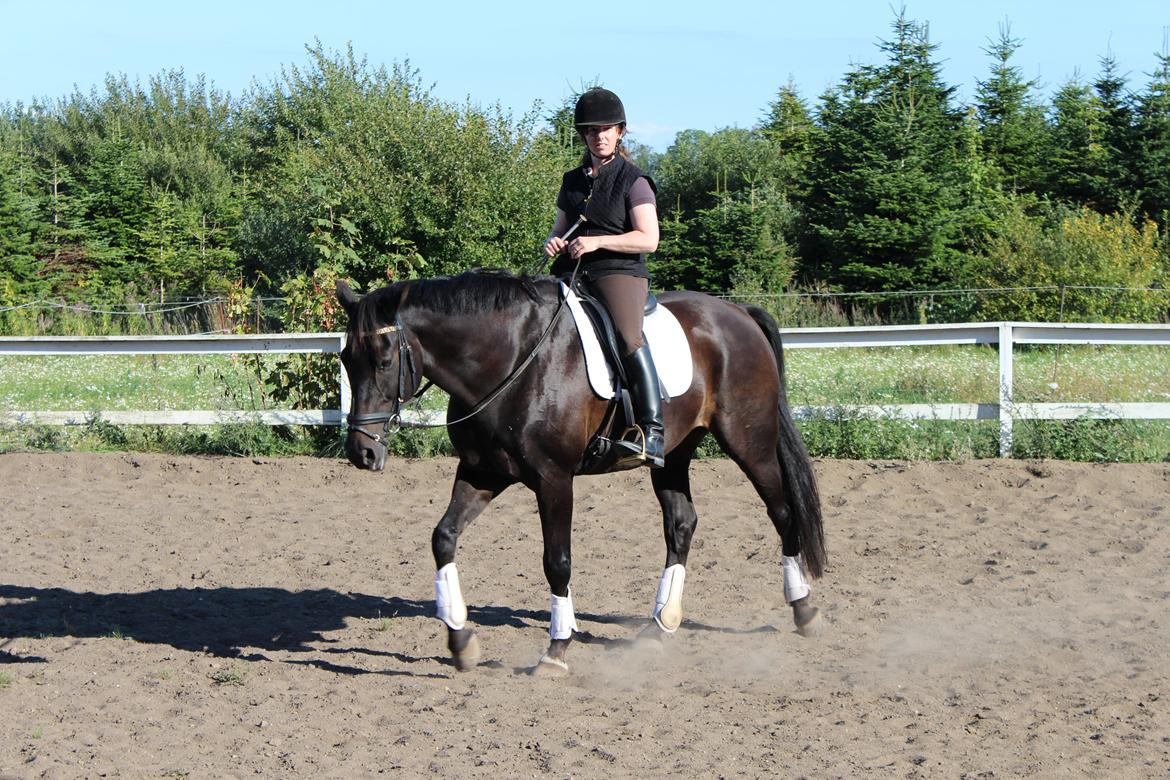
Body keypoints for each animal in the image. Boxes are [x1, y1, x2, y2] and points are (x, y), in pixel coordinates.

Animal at [334, 271, 828, 673]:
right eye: (344, 360)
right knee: (681, 524)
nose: (361, 452)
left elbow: (557, 561)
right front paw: (461, 641)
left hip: (750, 443)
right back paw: (660, 624)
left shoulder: (554, 480)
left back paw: (804, 610)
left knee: (782, 512)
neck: (511, 359)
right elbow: (443, 538)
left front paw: (556, 649)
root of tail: (737, 312)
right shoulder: (483, 472)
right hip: (673, 455)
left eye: (383, 360)